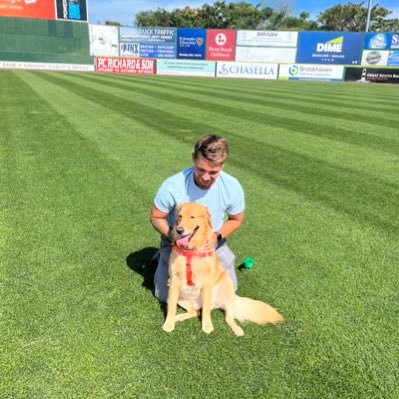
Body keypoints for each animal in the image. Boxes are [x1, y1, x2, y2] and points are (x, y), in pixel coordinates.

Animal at [163, 203, 284, 338]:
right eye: (180, 216)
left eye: (192, 217)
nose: (179, 230)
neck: (191, 251)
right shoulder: (174, 282)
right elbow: (171, 307)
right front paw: (169, 324)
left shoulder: (207, 283)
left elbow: (206, 310)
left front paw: (207, 326)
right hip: (179, 298)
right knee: (195, 312)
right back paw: (177, 317)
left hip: (227, 290)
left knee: (227, 317)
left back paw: (237, 329)